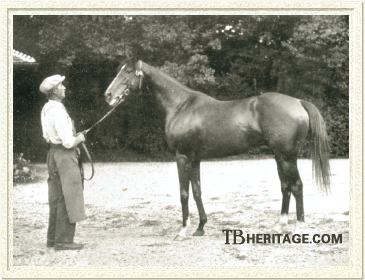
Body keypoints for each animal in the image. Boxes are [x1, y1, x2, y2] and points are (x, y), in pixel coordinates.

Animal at [103, 60, 330, 240]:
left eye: (127, 72)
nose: (108, 95)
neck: (180, 106)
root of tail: (298, 102)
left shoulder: (182, 157)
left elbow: (184, 193)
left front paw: (182, 231)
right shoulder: (195, 159)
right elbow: (197, 191)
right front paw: (200, 227)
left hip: (287, 156)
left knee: (297, 186)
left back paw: (298, 227)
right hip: (279, 156)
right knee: (285, 186)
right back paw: (279, 225)